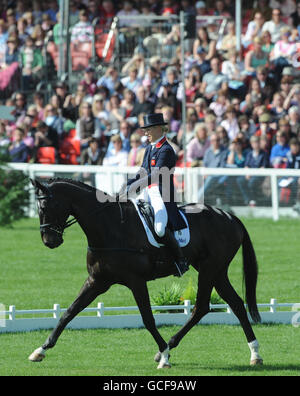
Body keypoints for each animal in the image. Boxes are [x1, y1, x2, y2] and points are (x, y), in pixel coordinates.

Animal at [28, 178, 262, 370]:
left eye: (47, 206)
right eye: (38, 207)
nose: (49, 241)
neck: (110, 227)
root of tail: (229, 216)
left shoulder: (136, 281)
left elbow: (148, 319)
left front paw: (165, 356)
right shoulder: (96, 281)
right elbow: (68, 313)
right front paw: (40, 350)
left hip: (209, 270)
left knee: (202, 307)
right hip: (217, 272)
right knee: (235, 304)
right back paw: (255, 354)